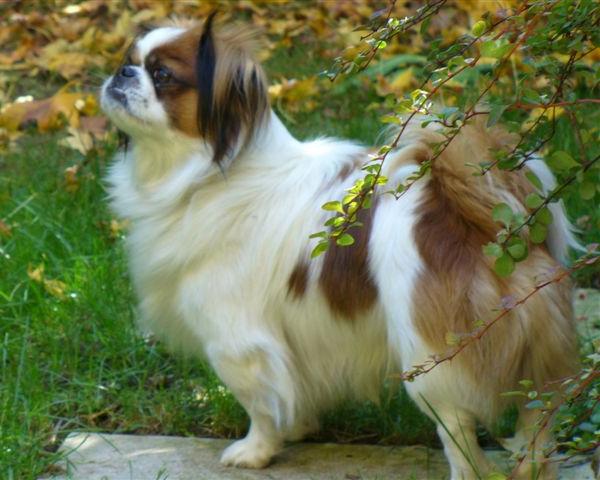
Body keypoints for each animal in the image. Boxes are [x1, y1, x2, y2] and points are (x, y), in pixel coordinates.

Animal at [101, 15, 580, 480]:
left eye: (162, 75)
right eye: (129, 60)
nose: (121, 73)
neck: (210, 172)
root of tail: (488, 218)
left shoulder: (239, 341)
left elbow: (261, 406)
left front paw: (256, 451)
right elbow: (290, 394)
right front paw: (297, 430)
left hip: (432, 364)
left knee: (460, 436)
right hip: (535, 364)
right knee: (539, 420)